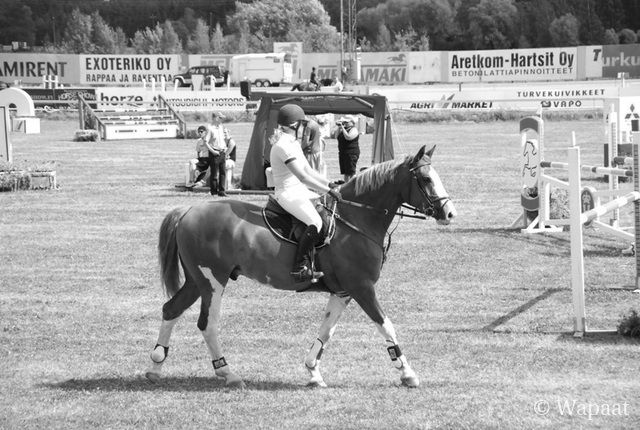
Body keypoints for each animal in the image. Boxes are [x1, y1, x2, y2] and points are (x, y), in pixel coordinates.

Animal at [146, 145, 456, 388]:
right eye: (426, 178)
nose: (450, 213)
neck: (357, 219)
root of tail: (188, 210)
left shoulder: (343, 292)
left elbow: (326, 332)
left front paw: (313, 372)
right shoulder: (362, 288)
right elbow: (386, 326)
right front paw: (408, 374)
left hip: (197, 280)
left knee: (171, 309)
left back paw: (155, 367)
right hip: (213, 281)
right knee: (207, 324)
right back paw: (228, 373)